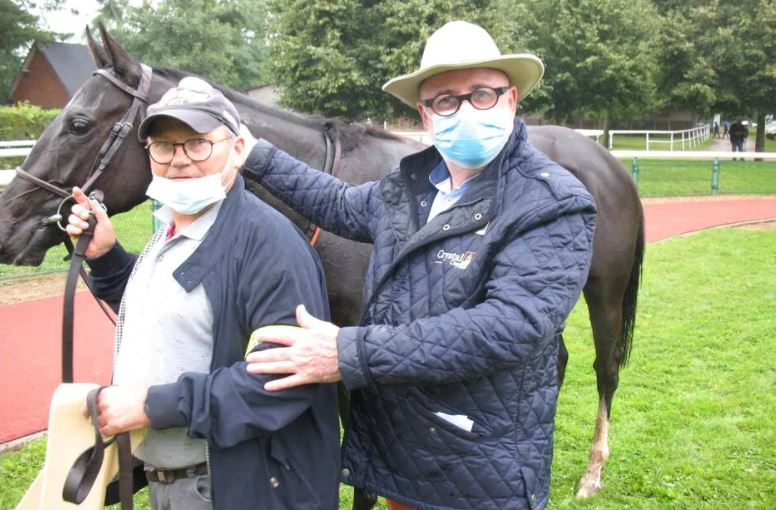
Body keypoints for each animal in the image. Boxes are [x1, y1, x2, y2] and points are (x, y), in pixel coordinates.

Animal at [0, 27, 644, 502]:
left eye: (78, 124)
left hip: (605, 294)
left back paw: (590, 473)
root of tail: (607, 162)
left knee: (604, 370)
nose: (8, 224)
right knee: (553, 362)